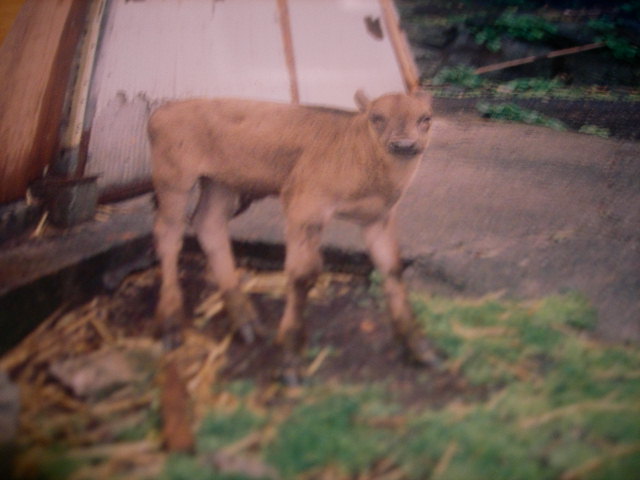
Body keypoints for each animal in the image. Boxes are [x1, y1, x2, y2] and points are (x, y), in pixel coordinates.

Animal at [149, 90, 438, 368]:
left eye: (426, 118)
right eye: (376, 117)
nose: (404, 145)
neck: (356, 148)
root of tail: (163, 110)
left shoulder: (378, 217)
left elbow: (392, 268)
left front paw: (419, 348)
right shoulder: (304, 208)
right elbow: (302, 275)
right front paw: (289, 355)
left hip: (221, 182)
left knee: (210, 224)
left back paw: (245, 322)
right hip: (174, 181)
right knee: (169, 234)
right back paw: (171, 325)